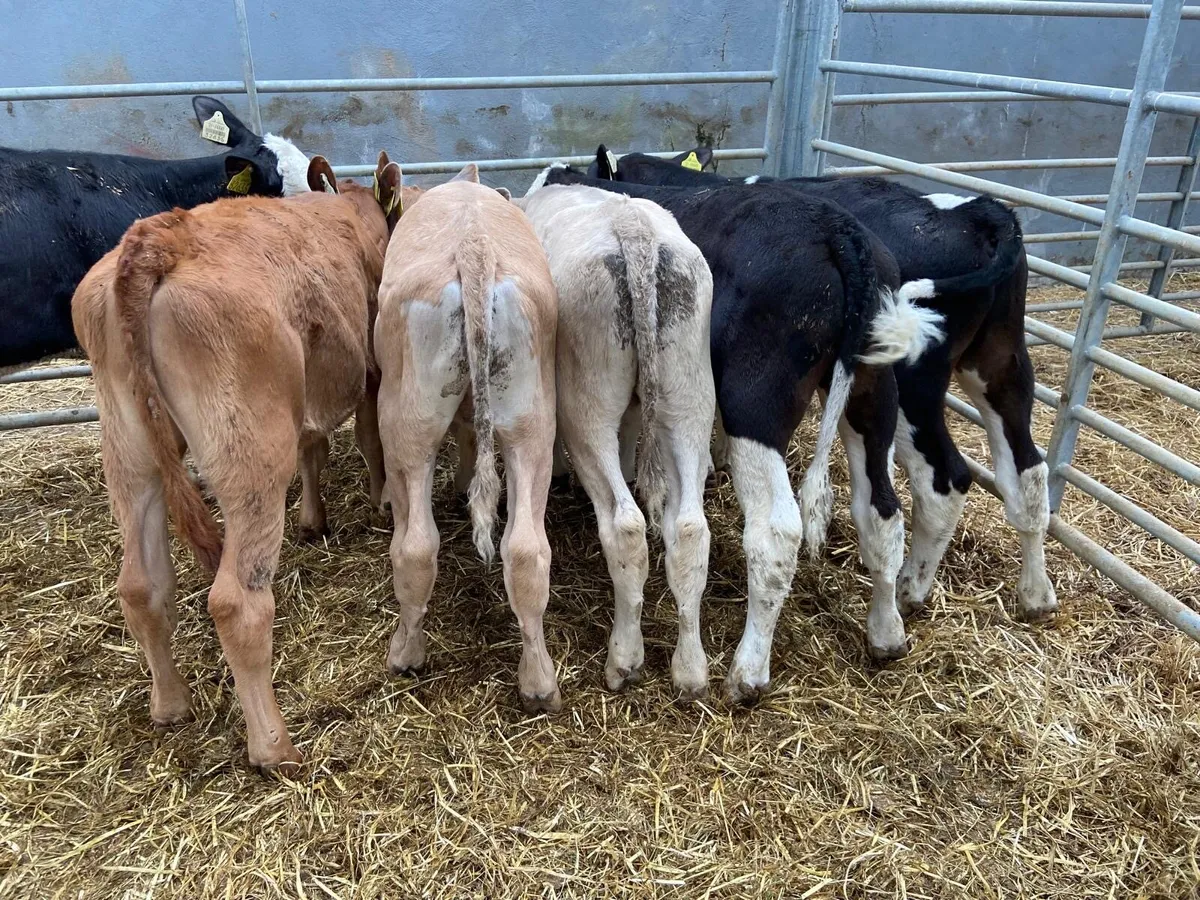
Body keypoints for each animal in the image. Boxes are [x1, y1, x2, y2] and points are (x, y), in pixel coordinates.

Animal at [70, 153, 401, 772]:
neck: (352, 209)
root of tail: (160, 237)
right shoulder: (370, 371)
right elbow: (371, 439)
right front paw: (382, 498)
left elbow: (313, 449)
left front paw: (314, 520)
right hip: (250, 451)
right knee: (236, 602)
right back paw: (274, 746)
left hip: (128, 450)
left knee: (141, 584)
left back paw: (170, 704)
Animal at [374, 164, 562, 712]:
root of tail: (472, 247)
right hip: (531, 419)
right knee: (526, 551)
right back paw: (539, 685)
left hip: (406, 423)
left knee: (415, 547)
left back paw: (406, 654)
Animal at [515, 183, 716, 698]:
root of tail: (633, 230)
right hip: (689, 398)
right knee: (689, 528)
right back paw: (690, 669)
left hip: (586, 407)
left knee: (624, 526)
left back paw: (624, 659)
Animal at [538, 163, 945, 701]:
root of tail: (839, 232)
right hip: (872, 392)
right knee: (880, 509)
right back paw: (886, 632)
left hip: (749, 404)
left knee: (772, 530)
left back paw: (743, 671)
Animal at [590, 147, 1057, 626]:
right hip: (984, 363)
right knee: (1015, 473)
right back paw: (1025, 596)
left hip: (840, 389)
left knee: (931, 482)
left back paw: (910, 589)